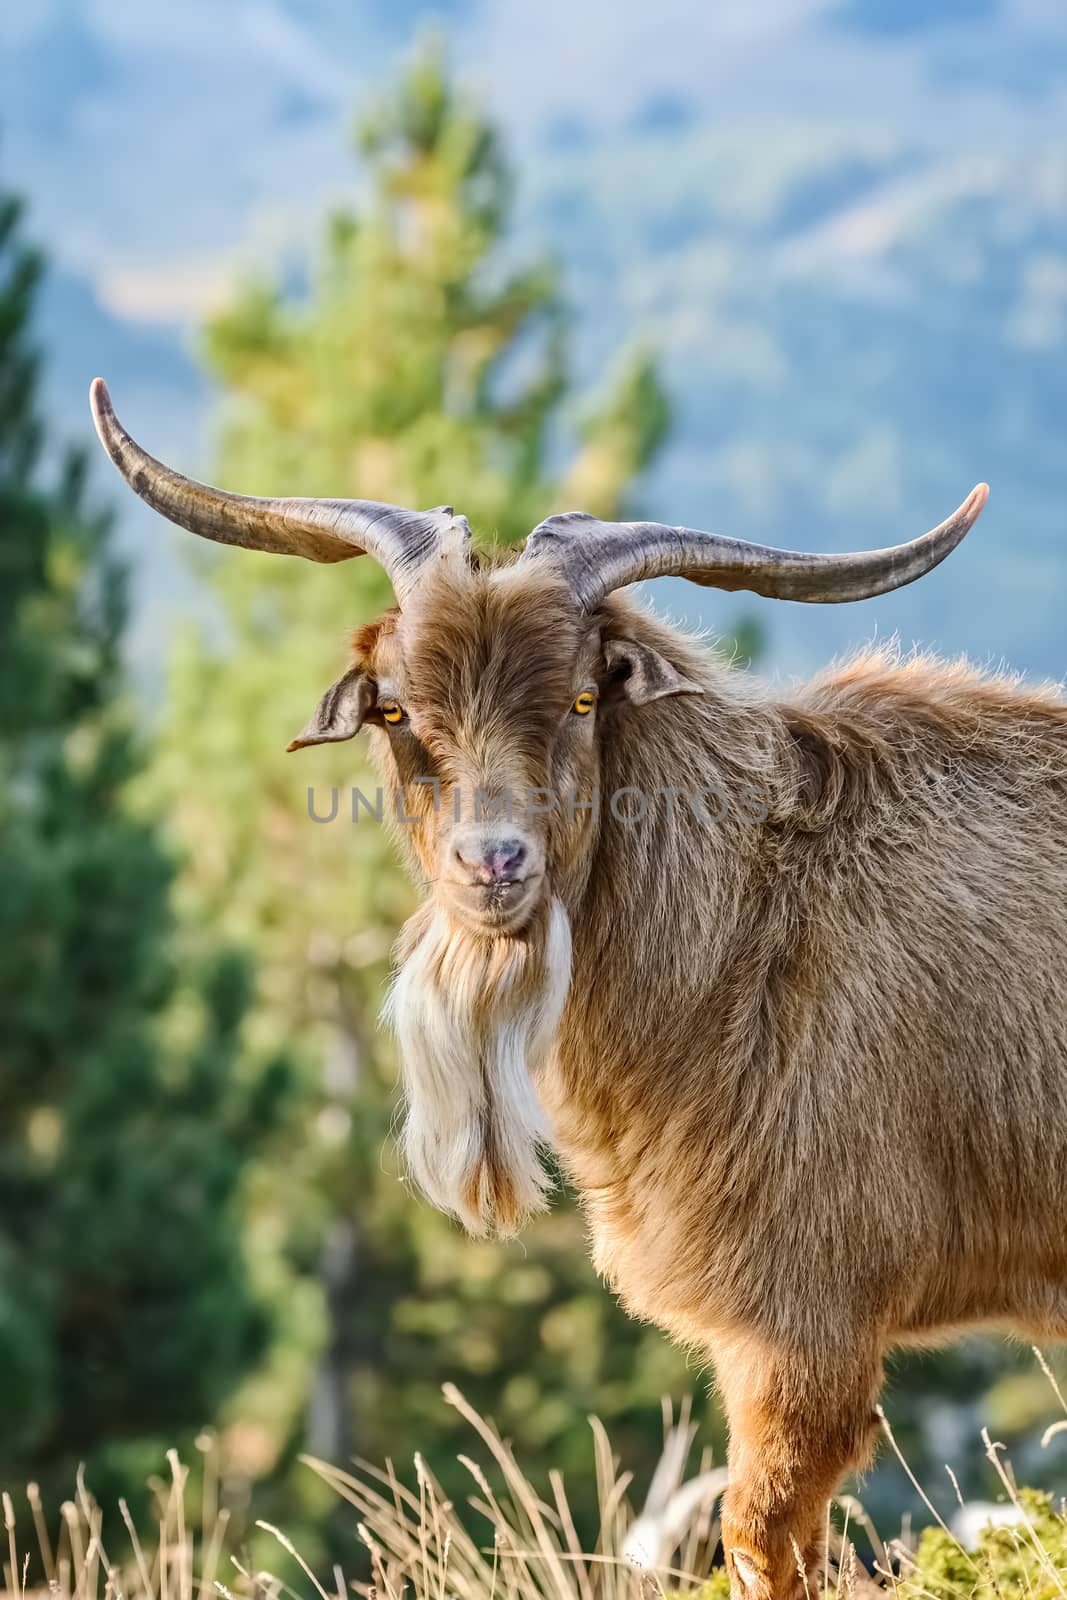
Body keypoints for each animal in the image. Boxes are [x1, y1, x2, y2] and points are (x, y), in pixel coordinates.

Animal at [91, 374, 1067, 1600]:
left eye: (581, 701)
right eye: (396, 710)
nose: (493, 864)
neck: (750, 923)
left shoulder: (806, 1320)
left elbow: (763, 1539)